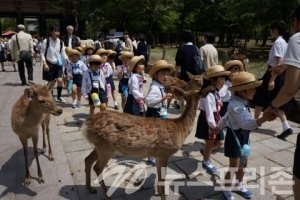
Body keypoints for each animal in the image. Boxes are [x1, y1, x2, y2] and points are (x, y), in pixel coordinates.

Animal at [83, 75, 212, 200]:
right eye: (198, 80)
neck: (181, 128)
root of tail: (88, 124)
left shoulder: (159, 155)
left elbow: (159, 177)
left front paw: (158, 193)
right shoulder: (165, 152)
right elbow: (162, 180)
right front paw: (163, 196)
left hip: (99, 145)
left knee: (87, 159)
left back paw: (90, 188)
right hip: (106, 147)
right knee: (97, 168)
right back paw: (106, 196)